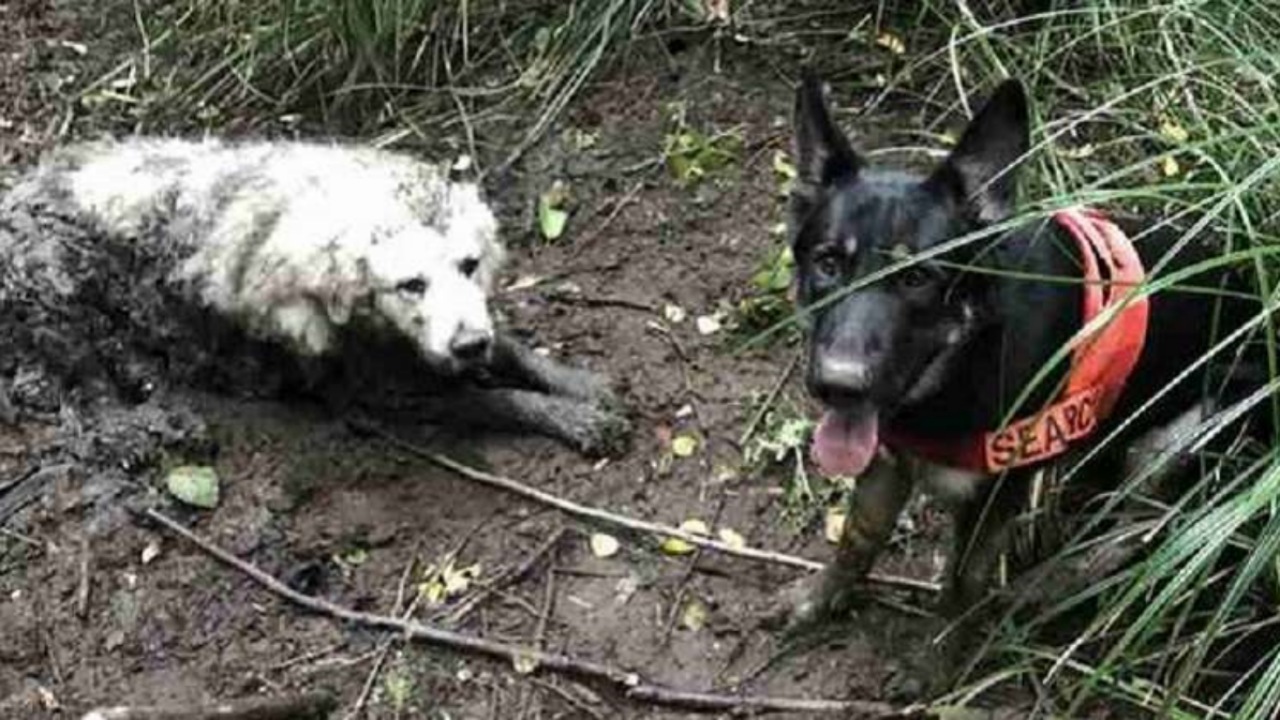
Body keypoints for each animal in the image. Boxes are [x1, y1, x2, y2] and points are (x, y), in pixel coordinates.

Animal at [0, 136, 629, 450]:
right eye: (411, 284)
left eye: (470, 265)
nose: (468, 345)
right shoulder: (373, 390)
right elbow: (491, 400)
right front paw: (571, 417)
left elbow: (513, 349)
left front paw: (578, 383)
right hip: (52, 288)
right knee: (84, 393)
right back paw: (139, 427)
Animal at [783, 73, 1264, 691]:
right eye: (827, 264)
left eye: (918, 278)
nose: (838, 386)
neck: (962, 362)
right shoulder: (886, 459)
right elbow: (858, 538)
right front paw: (819, 600)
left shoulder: (992, 496)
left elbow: (960, 586)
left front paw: (933, 665)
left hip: (1175, 438)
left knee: (1141, 527)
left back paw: (1052, 581)